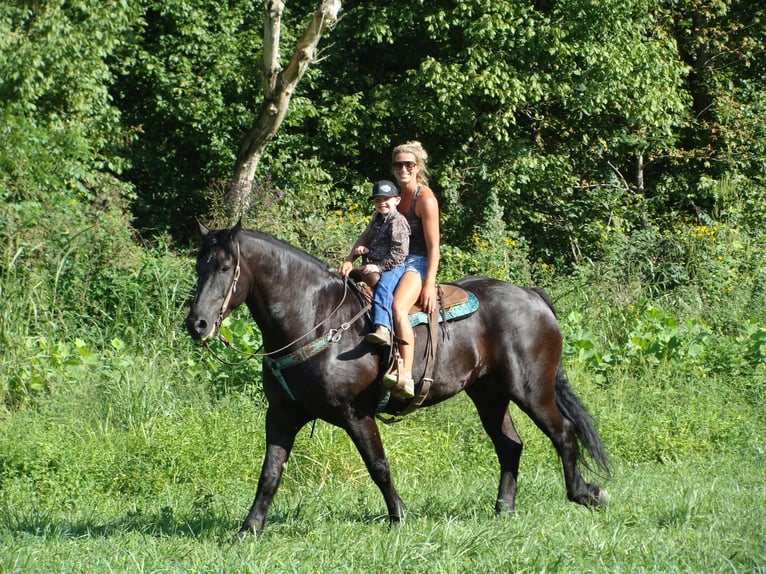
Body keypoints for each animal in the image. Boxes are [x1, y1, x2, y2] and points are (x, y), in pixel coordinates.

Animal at [186, 222, 612, 540]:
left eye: (225, 267)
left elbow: (378, 465)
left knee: (563, 432)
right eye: (199, 266)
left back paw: (586, 494)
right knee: (510, 445)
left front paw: (399, 516)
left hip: (531, 390)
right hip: (489, 394)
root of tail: (533, 297)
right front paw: (248, 529)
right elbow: (270, 474)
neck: (315, 317)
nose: (197, 324)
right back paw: (503, 509)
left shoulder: (355, 414)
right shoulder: (281, 415)